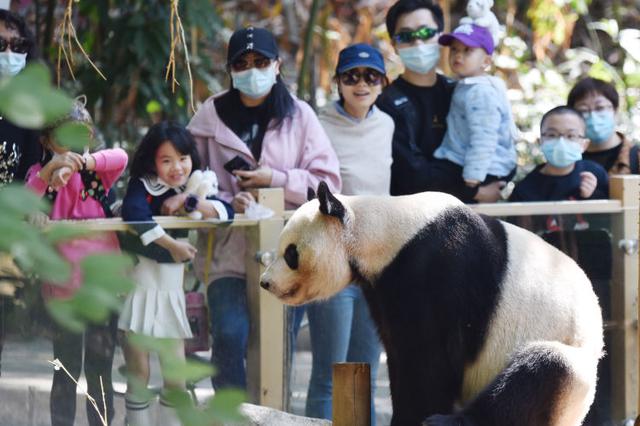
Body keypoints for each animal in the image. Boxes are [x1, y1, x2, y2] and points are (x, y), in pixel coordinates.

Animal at [258, 182, 600, 426]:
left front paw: (414, 416)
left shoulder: (440, 265)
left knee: (539, 373)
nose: (265, 282)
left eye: (291, 253)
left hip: (572, 370)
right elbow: (399, 351)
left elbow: (428, 356)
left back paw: (449, 421)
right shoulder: (384, 287)